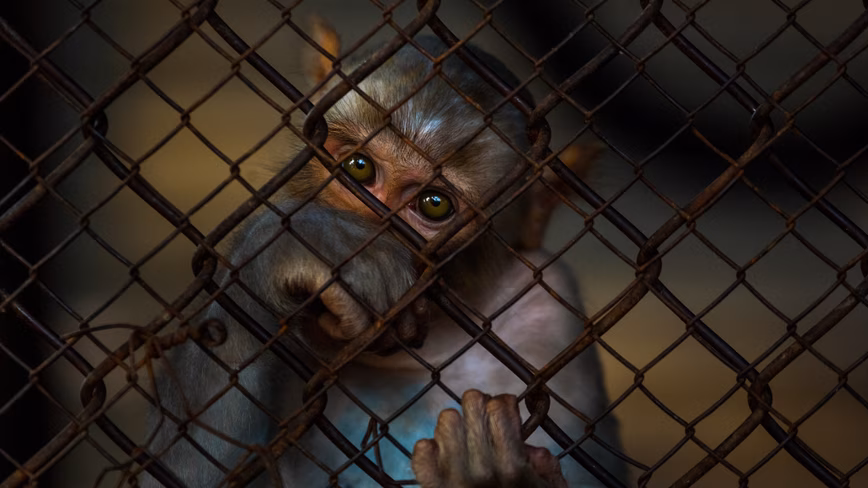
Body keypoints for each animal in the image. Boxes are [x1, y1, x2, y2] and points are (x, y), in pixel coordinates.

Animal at [142, 18, 624, 488]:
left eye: (434, 204)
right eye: (358, 168)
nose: (374, 235)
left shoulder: (547, 311)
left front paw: (489, 473)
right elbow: (188, 473)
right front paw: (320, 243)